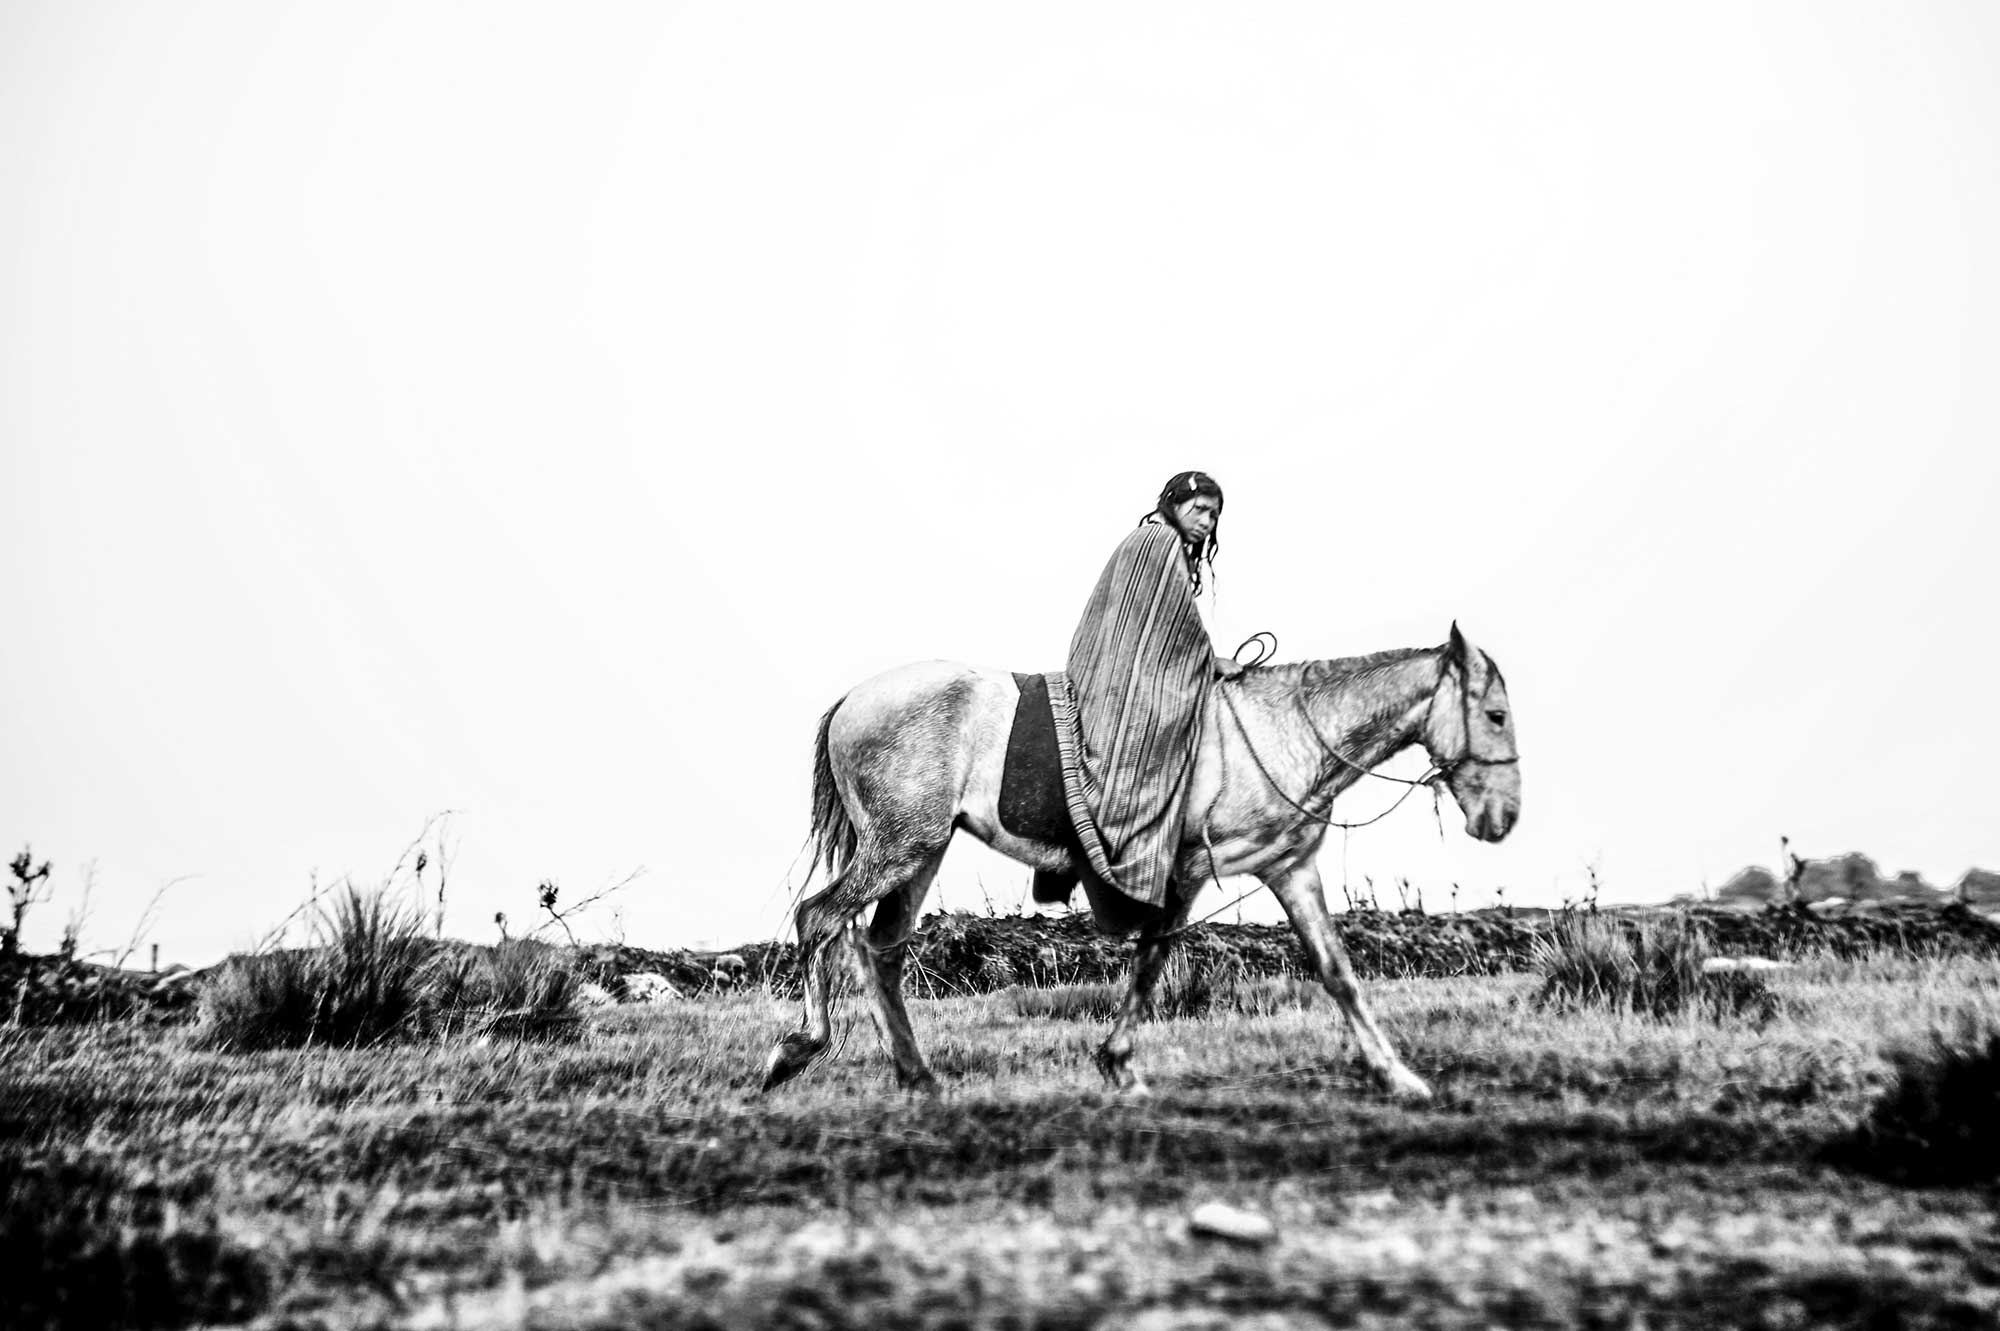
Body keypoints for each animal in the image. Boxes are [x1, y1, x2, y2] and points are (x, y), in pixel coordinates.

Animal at [760, 615, 1512, 1095]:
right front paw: (1119, 1062)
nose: (1502, 818)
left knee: (879, 947)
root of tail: (853, 700)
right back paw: (796, 1050)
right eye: (1498, 715)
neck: (1279, 730)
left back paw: (916, 1074)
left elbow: (1336, 969)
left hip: (922, 850)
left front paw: (1398, 1077)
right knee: (820, 918)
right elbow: (1153, 959)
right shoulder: (1189, 869)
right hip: (900, 845)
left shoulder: (1290, 867)